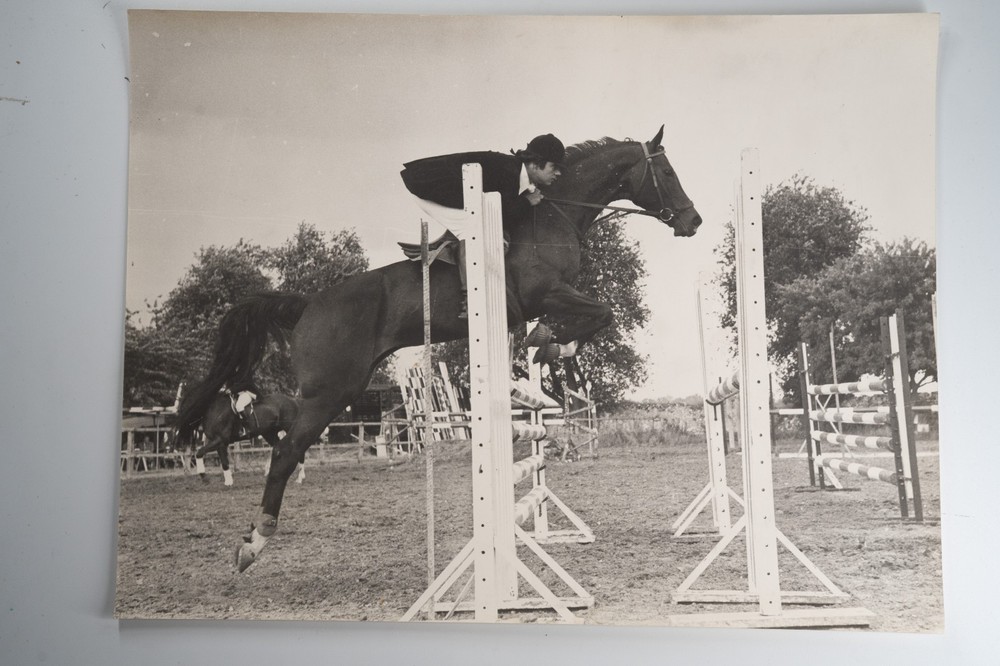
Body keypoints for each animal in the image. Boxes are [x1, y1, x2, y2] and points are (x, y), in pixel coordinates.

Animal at [178, 126, 701, 571]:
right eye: (668, 174)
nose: (693, 220)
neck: (550, 212)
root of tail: (309, 304)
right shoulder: (546, 293)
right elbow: (602, 312)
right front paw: (552, 345)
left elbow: (594, 318)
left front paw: (549, 350)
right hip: (330, 392)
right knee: (285, 453)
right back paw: (255, 542)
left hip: (338, 391)